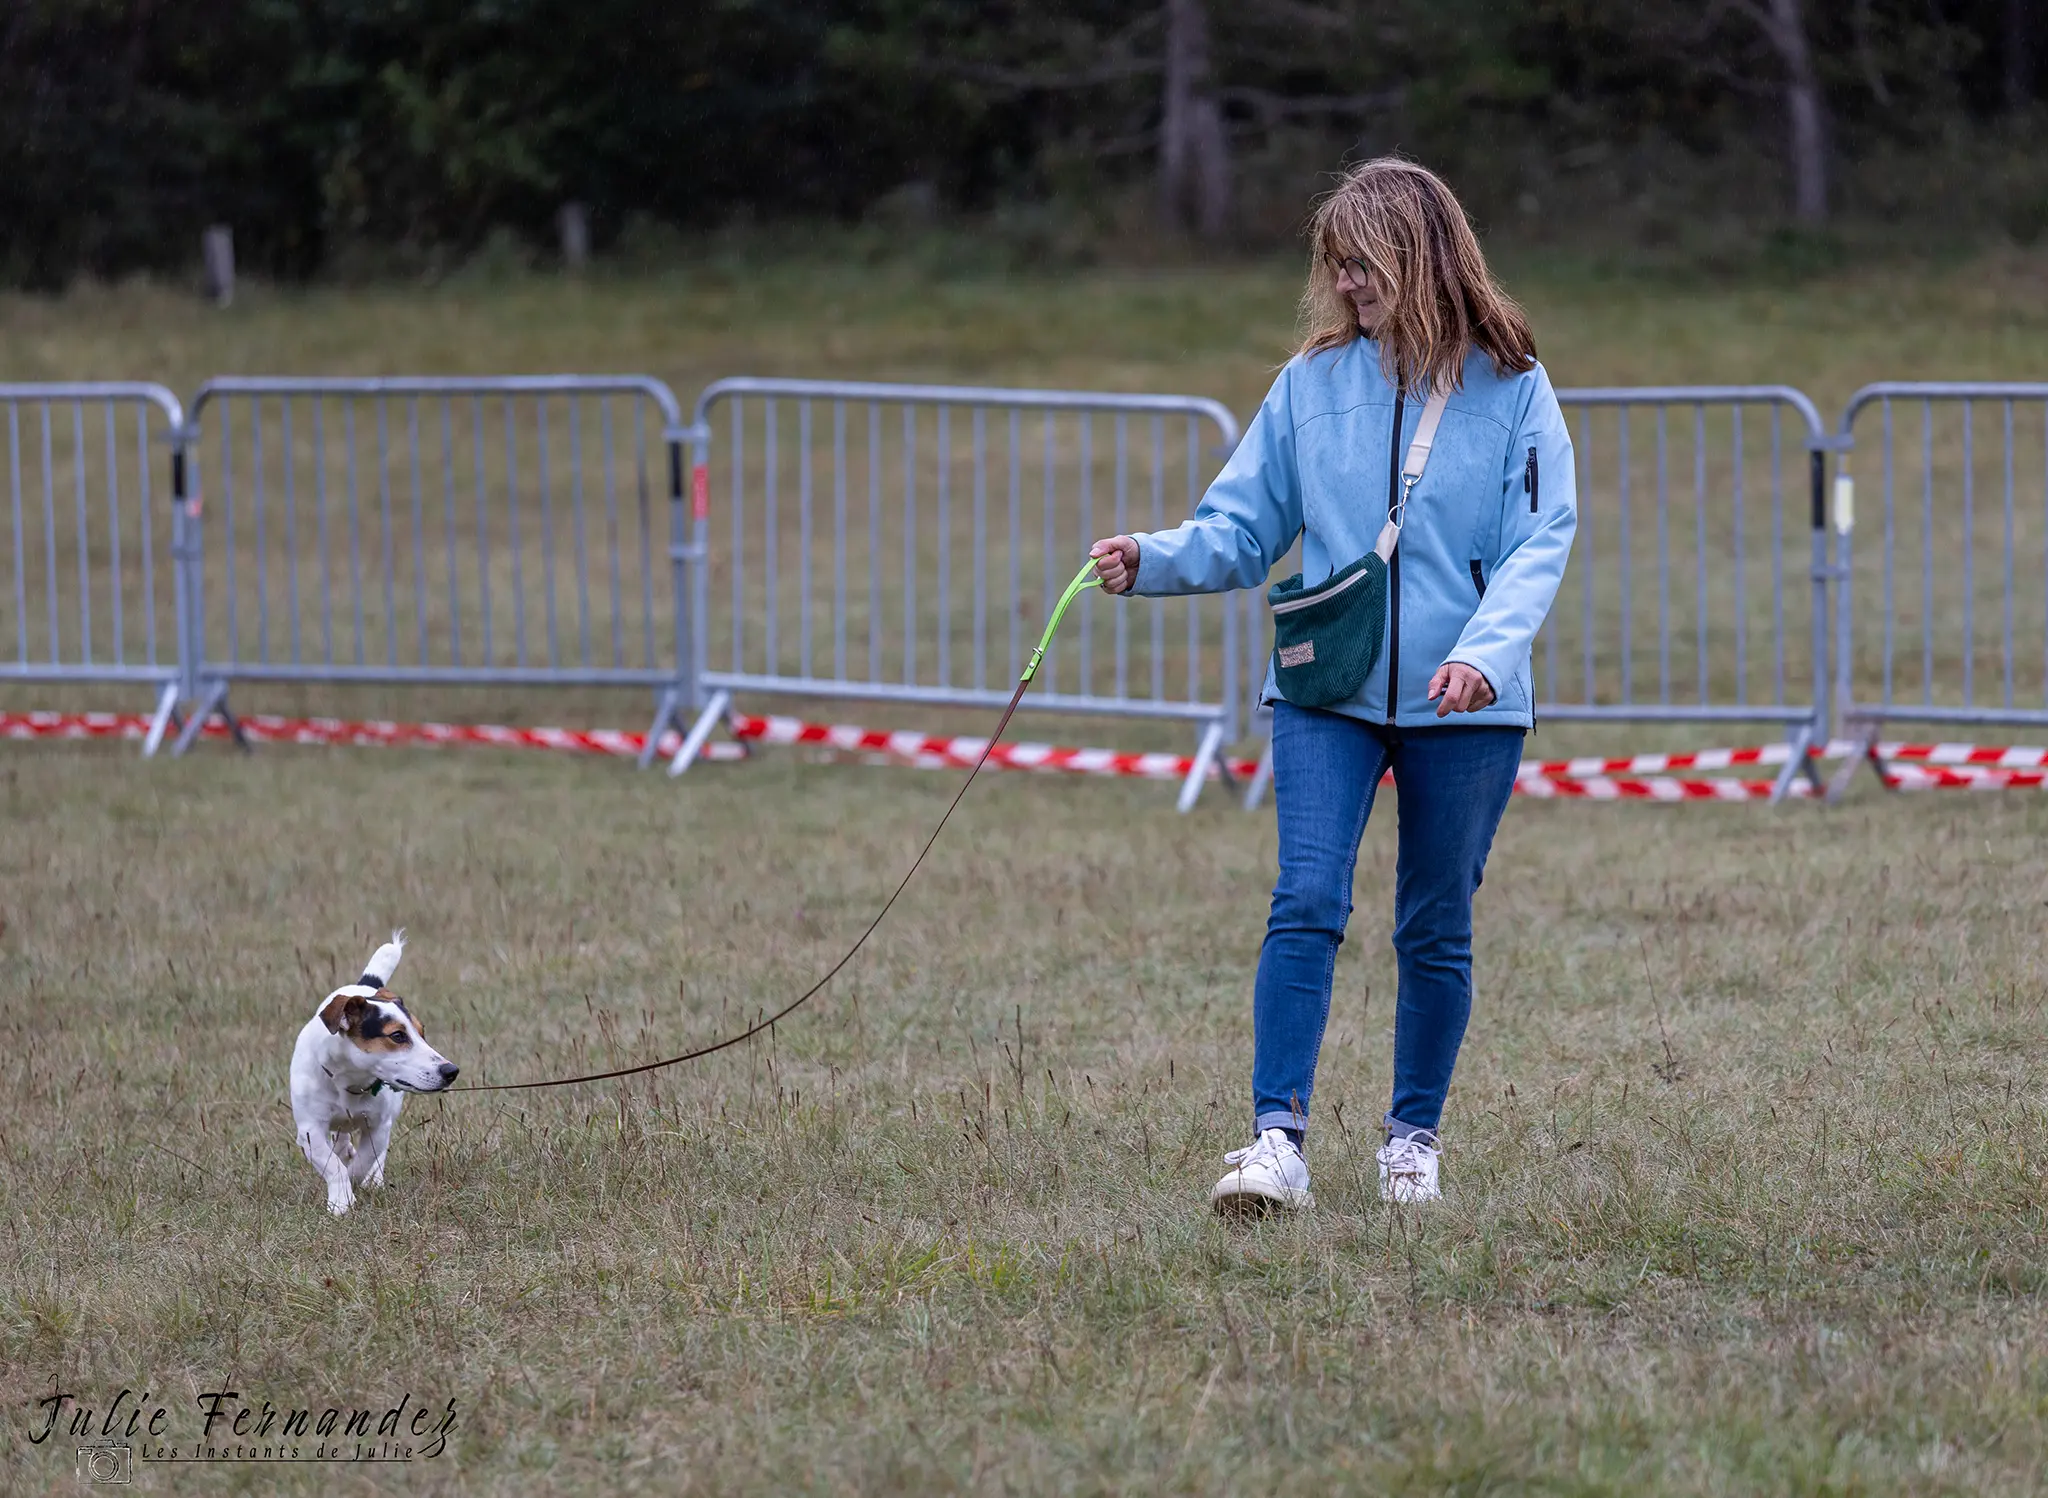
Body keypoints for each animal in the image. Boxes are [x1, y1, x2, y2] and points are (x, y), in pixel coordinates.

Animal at [290, 930, 458, 1213]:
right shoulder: (310, 1130)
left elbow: (364, 1161)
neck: (350, 1082)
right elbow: (333, 1165)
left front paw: (357, 1184)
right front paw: (341, 1202)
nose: (451, 1071)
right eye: (397, 1036)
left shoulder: (378, 1125)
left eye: (422, 1032)